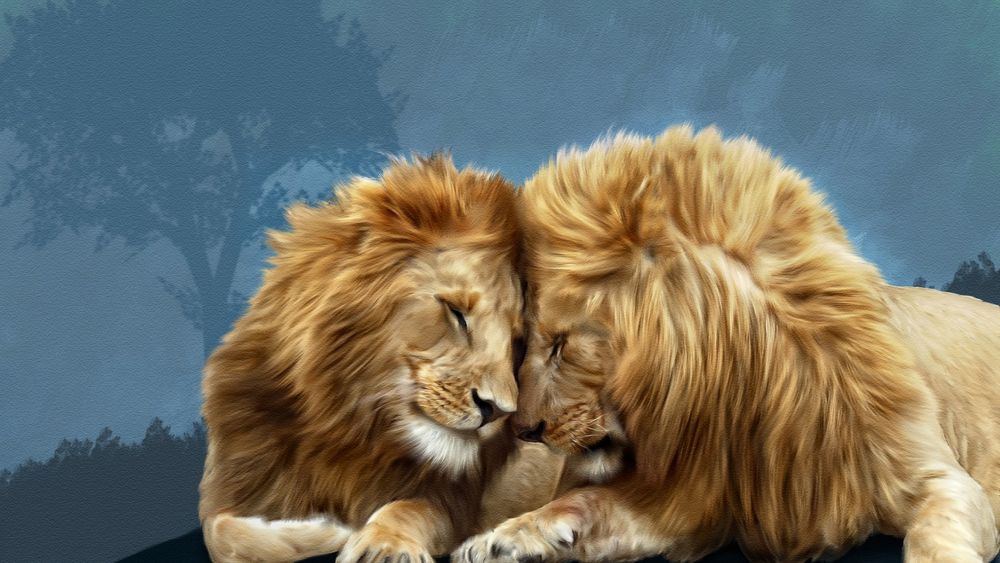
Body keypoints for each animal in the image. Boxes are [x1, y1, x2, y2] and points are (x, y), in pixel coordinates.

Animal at [199, 154, 536, 563]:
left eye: (517, 341)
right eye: (456, 312)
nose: (498, 411)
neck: (347, 426)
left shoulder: (453, 504)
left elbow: (408, 508)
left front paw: (383, 544)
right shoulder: (231, 486)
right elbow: (221, 533)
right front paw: (322, 529)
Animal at [455, 126, 1000, 562]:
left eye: (560, 345)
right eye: (525, 344)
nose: (522, 430)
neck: (748, 394)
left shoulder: (939, 479)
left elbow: (937, 535)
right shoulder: (687, 499)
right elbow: (587, 500)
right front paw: (503, 538)